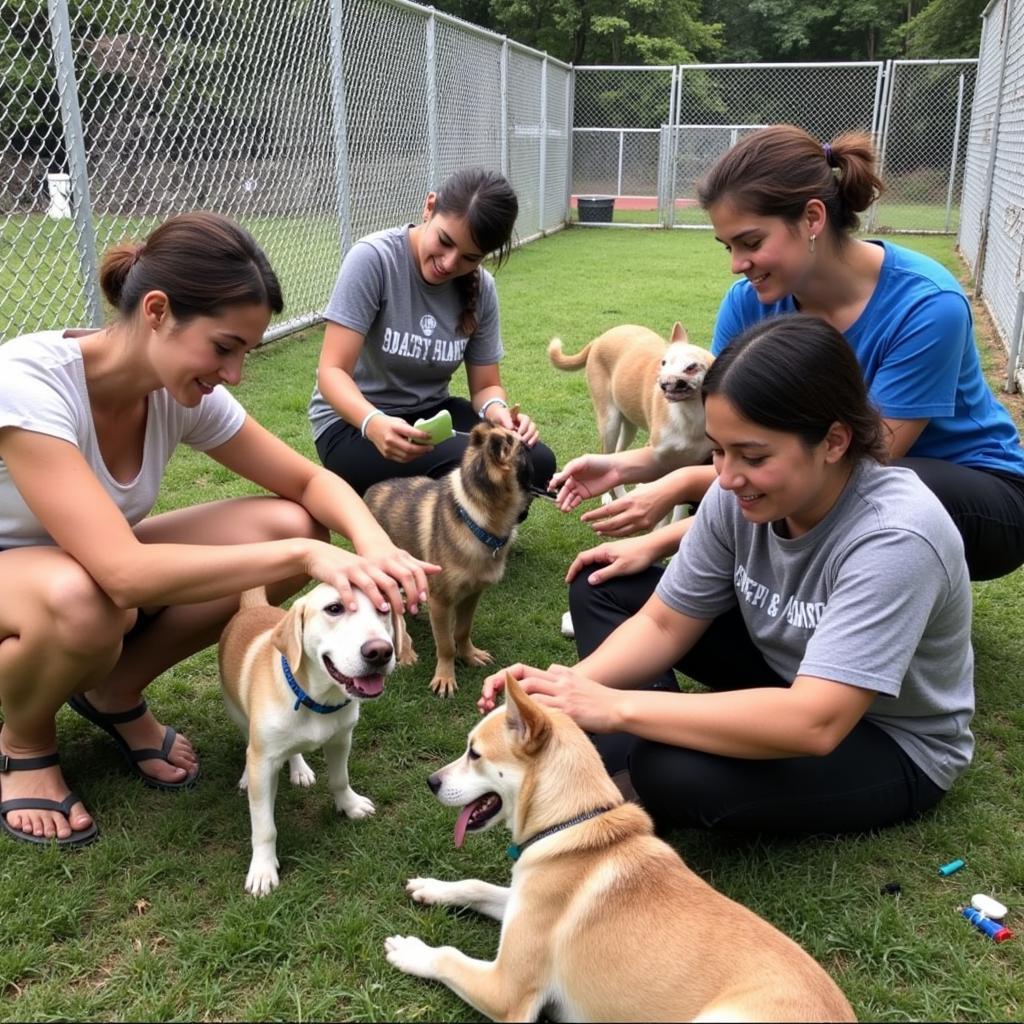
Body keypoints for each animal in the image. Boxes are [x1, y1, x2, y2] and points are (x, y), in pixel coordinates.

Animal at [218, 585, 397, 897]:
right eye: (334, 608)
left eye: (384, 608)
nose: (380, 652)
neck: (317, 699)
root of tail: (253, 606)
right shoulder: (263, 762)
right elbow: (264, 826)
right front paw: (263, 869)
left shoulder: (341, 739)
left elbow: (339, 780)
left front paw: (349, 805)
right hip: (237, 712)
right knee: (247, 742)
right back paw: (246, 776)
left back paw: (299, 769)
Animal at [385, 675, 856, 1019]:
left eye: (474, 753)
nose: (431, 782)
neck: (571, 824)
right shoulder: (520, 901)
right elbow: (476, 885)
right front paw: (431, 888)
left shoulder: (506, 990)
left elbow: (447, 957)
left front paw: (411, 950)